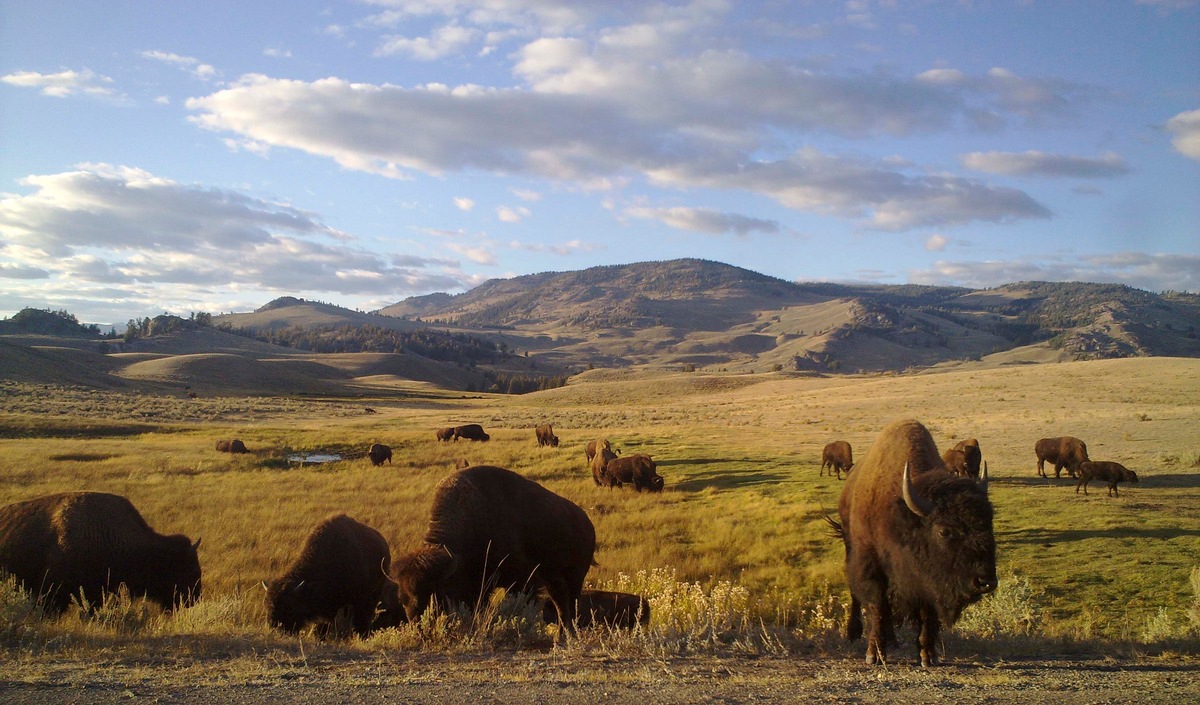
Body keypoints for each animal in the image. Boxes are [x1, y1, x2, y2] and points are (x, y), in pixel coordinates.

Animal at [266, 513, 398, 637]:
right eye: (267, 605)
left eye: (289, 607)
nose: (275, 628)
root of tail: (384, 545)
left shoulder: (357, 600)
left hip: (374, 594)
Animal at [393, 462, 595, 633]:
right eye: (402, 599)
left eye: (433, 595)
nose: (418, 627)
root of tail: (586, 522)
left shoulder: (522, 581)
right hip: (554, 580)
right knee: (561, 603)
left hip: (575, 576)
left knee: (572, 602)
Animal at [835, 419, 993, 666]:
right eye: (944, 531)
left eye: (989, 521)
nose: (985, 581)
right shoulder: (871, 567)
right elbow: (877, 607)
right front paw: (874, 654)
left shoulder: (927, 579)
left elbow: (927, 613)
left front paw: (928, 655)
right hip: (850, 546)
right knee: (857, 596)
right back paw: (855, 634)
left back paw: (893, 641)